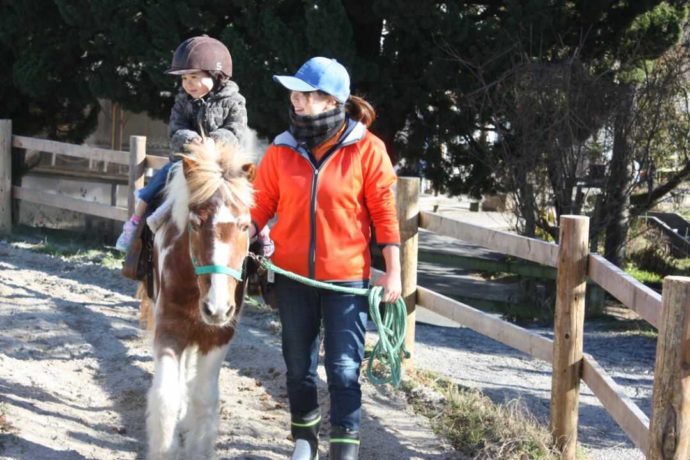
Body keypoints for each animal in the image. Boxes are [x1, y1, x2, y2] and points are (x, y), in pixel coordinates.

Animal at [138, 140, 255, 460]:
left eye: (244, 226)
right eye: (196, 223)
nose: (217, 308)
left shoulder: (217, 337)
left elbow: (205, 398)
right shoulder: (169, 329)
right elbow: (166, 396)